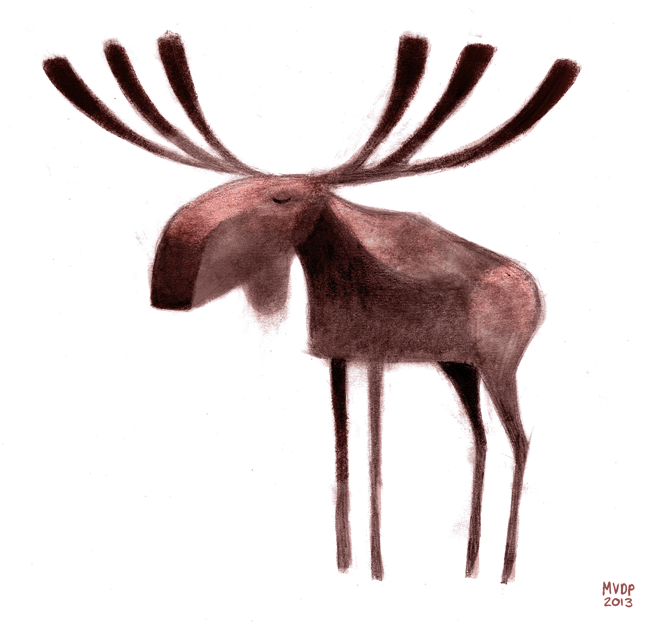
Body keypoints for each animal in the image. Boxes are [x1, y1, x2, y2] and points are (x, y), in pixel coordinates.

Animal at [43, 32, 579, 584]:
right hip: (458, 363)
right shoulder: (338, 357)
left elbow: (373, 460)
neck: (336, 270)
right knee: (482, 440)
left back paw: (504, 565)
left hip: (498, 365)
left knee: (520, 442)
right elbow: (344, 460)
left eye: (282, 198)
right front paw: (347, 561)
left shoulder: (377, 356)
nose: (172, 271)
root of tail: (532, 291)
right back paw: (470, 561)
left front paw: (376, 568)